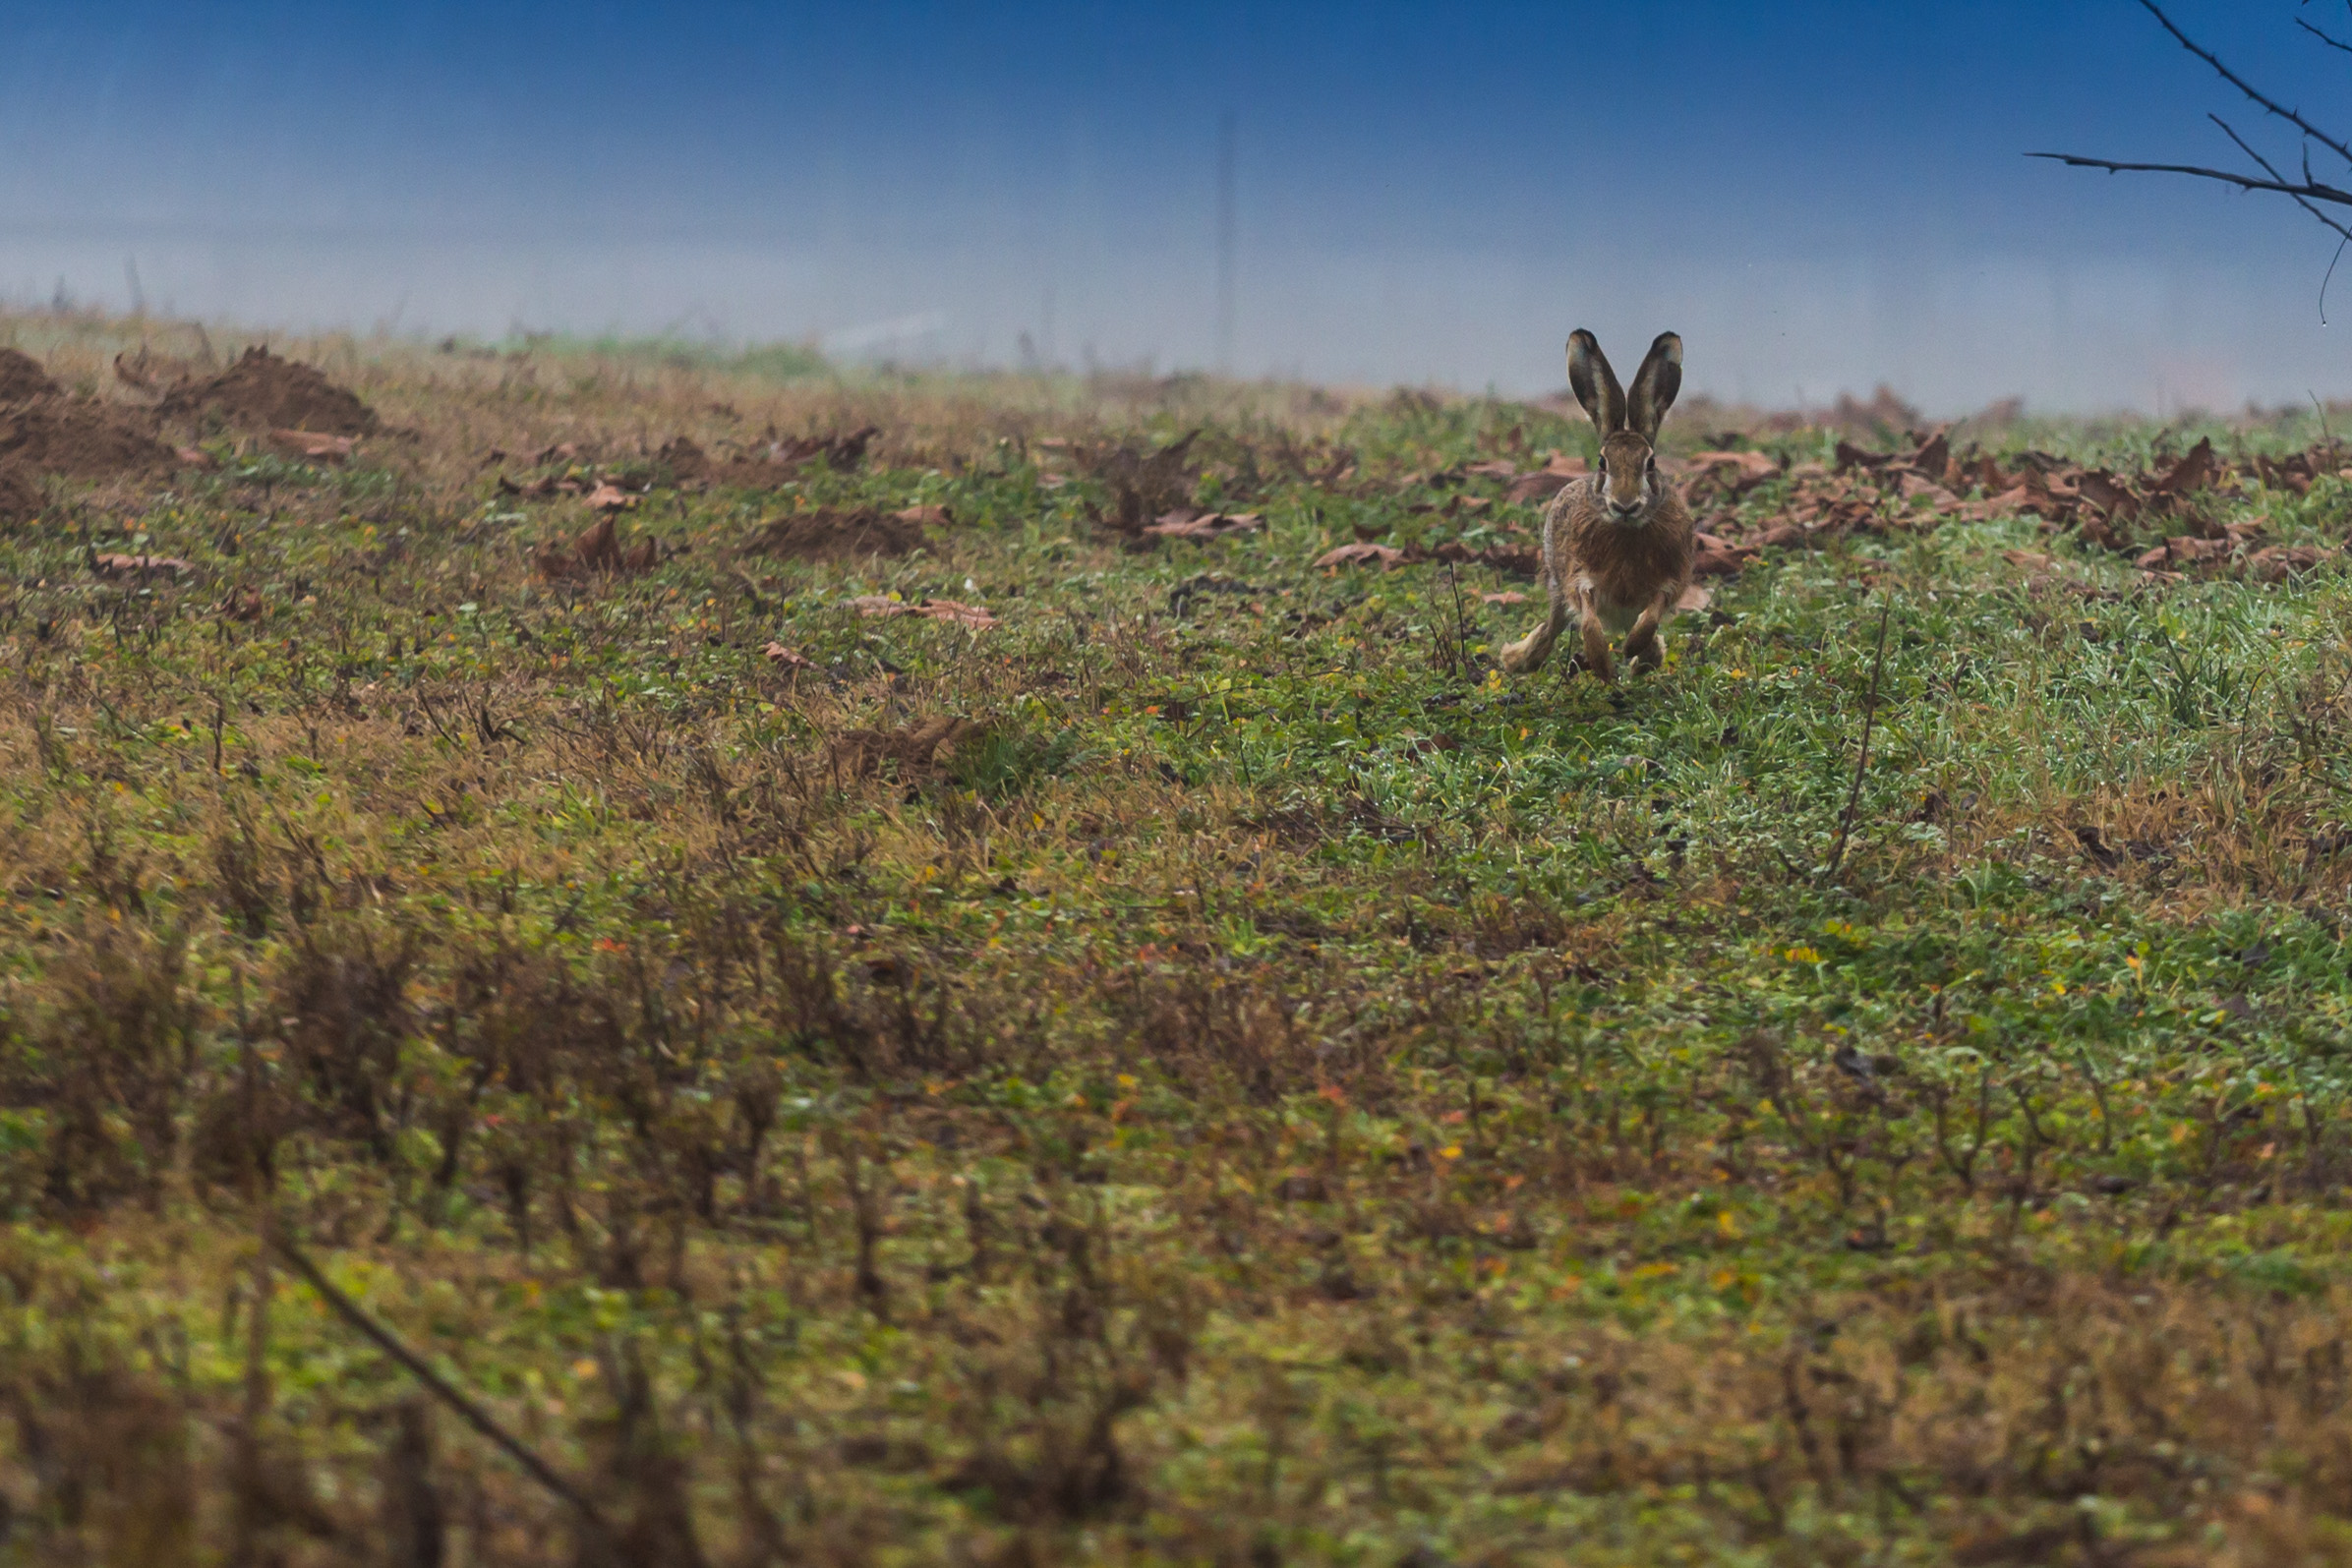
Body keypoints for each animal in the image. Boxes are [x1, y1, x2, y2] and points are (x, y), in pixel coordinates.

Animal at [1498, 330, 1704, 683]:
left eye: (1650, 463)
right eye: (1602, 462)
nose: (1625, 505)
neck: (1628, 530)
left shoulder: (1671, 580)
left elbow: (1653, 613)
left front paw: (1634, 647)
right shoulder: (1579, 577)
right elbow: (1589, 619)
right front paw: (1604, 667)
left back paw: (1646, 658)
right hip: (1556, 583)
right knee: (1553, 626)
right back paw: (1516, 660)